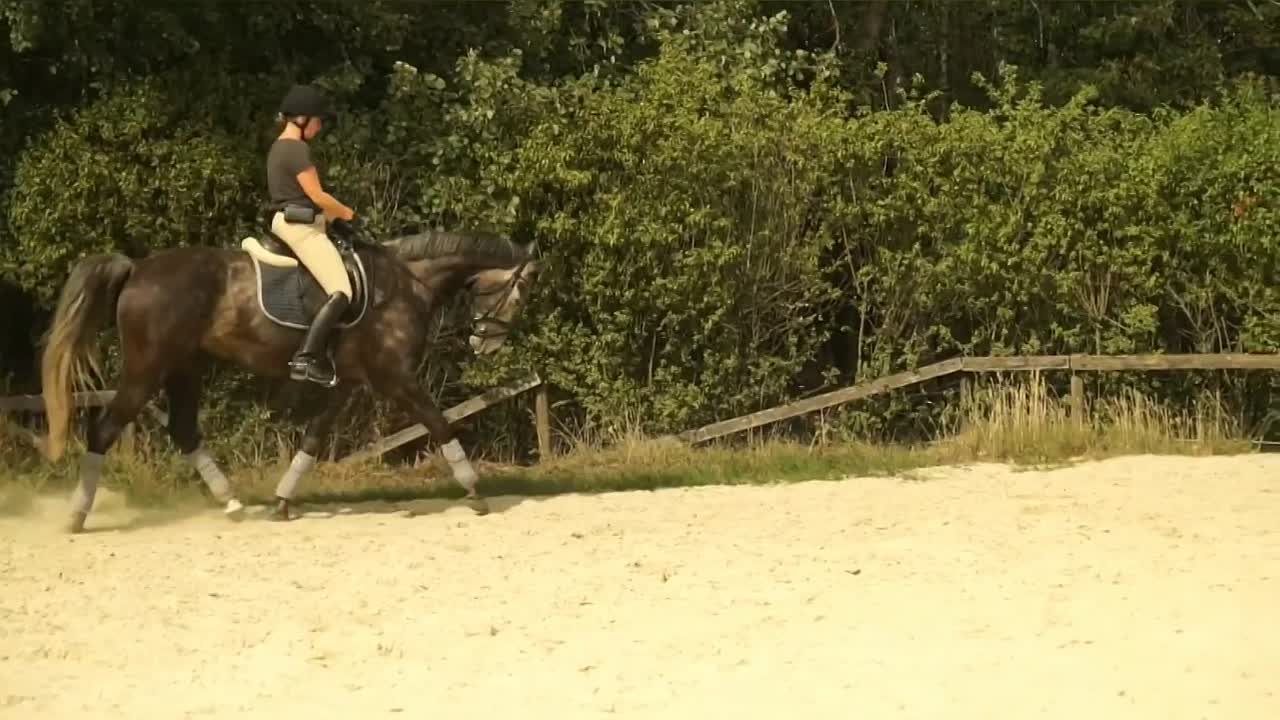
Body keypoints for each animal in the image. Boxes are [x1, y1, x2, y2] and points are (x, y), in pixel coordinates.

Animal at [38, 223, 540, 533]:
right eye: (520, 294)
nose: (486, 344)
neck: (403, 283)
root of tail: (137, 269)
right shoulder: (395, 378)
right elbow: (439, 423)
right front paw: (475, 490)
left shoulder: (347, 383)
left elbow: (313, 439)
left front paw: (282, 501)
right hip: (147, 370)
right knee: (104, 429)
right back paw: (78, 515)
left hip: (184, 368)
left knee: (182, 428)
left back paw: (232, 503)